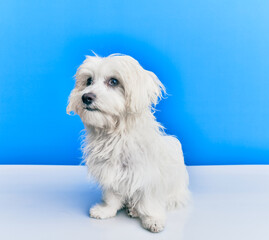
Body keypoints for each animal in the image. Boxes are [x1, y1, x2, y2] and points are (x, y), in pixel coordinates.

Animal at [66, 54, 188, 232]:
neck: (116, 133)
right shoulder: (110, 170)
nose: (86, 97)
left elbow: (149, 200)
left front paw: (153, 218)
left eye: (114, 81)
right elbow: (112, 195)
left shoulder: (148, 175)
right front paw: (106, 210)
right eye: (88, 81)